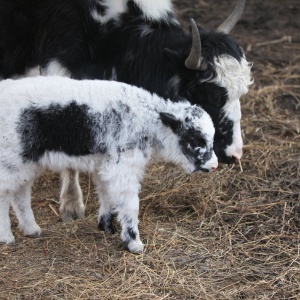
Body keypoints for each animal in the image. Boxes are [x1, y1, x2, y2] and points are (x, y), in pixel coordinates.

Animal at [0, 77, 217, 253]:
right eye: (195, 139)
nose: (214, 166)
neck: (146, 120)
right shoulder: (123, 167)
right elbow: (130, 205)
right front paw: (133, 243)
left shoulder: (105, 163)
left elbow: (106, 194)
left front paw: (106, 226)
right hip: (10, 158)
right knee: (4, 194)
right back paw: (6, 236)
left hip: (25, 162)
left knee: (20, 194)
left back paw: (31, 229)